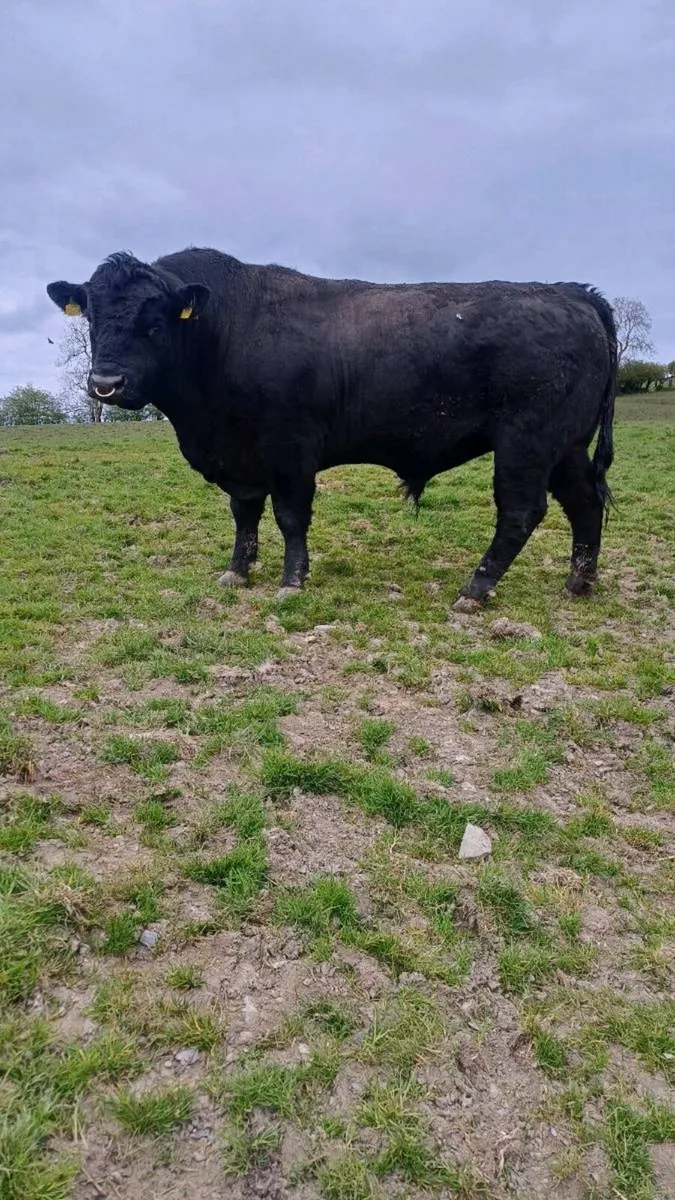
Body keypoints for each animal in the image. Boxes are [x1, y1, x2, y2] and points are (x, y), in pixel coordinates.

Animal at [47, 249, 617, 609]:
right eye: (91, 318)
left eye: (155, 321)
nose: (105, 384)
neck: (225, 333)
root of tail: (571, 292)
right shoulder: (241, 461)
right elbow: (244, 516)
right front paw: (237, 572)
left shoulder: (290, 450)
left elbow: (290, 517)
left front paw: (291, 582)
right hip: (566, 447)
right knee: (584, 504)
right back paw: (577, 584)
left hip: (527, 444)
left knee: (521, 512)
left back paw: (473, 592)